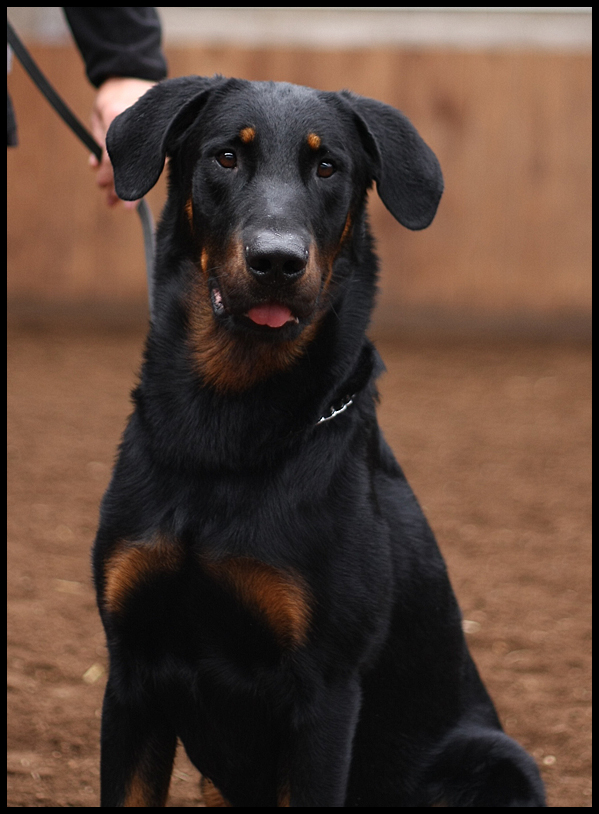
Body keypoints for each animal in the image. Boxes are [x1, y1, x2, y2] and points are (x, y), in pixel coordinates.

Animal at [92, 76, 544, 808]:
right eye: (225, 156)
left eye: (328, 166)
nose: (277, 261)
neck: (222, 433)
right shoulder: (131, 670)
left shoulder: (323, 694)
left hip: (496, 759)